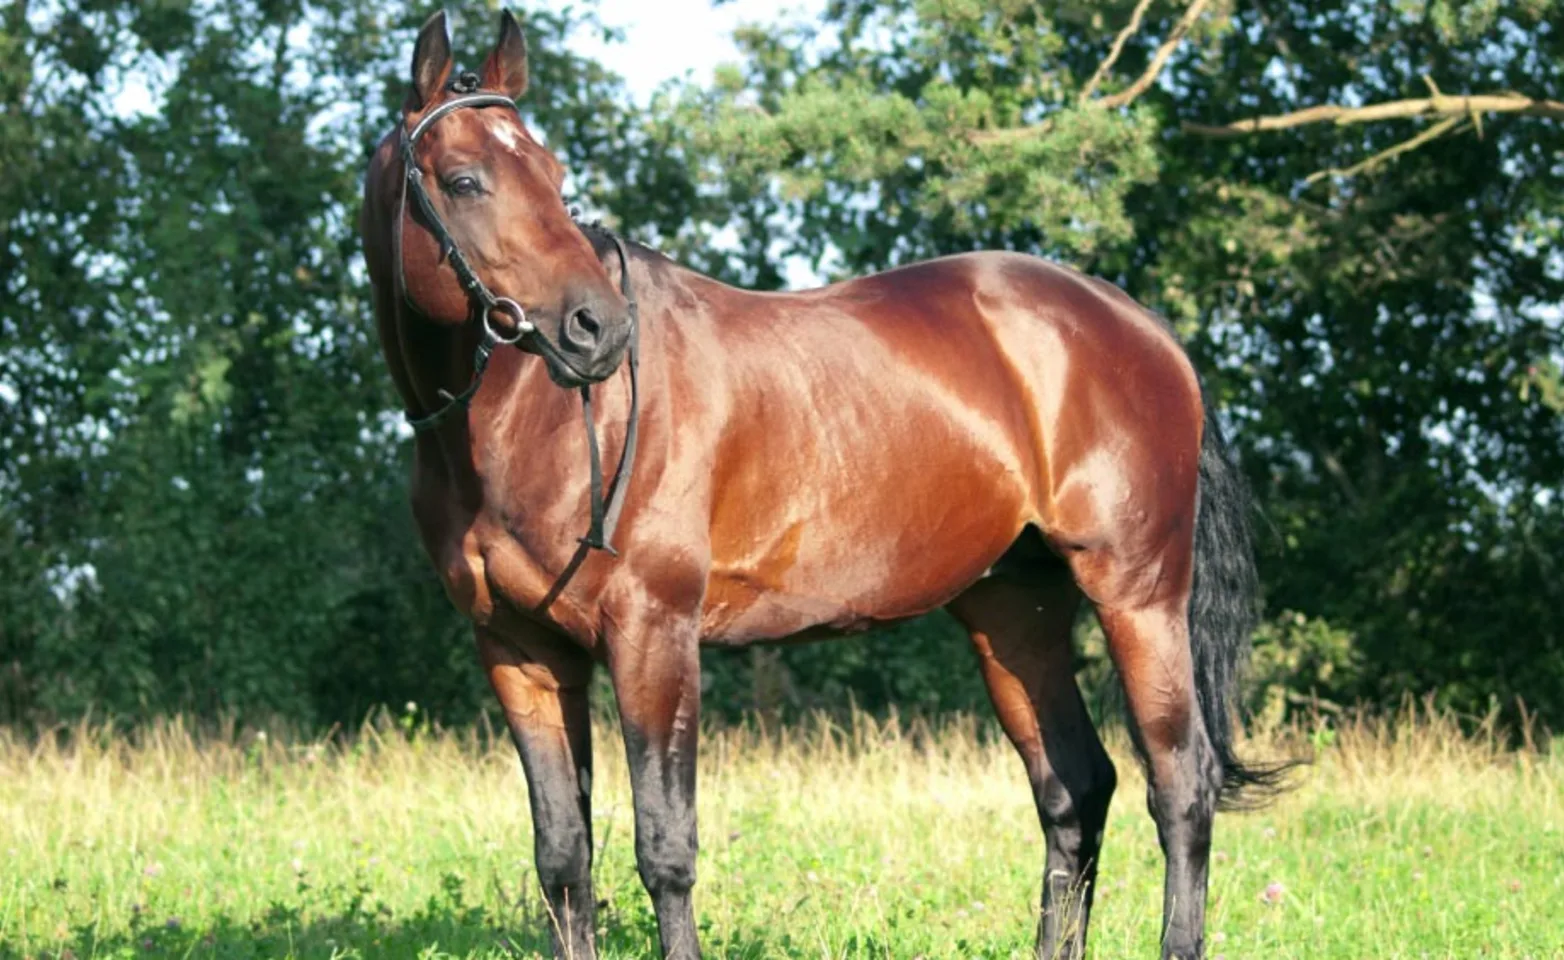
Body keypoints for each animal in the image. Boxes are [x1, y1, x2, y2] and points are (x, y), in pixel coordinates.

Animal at [362, 9, 1282, 960]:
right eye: (464, 181)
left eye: (552, 175)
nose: (597, 328)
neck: (529, 426)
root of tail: (1137, 323)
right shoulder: (519, 652)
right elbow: (563, 860)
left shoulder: (654, 636)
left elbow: (665, 849)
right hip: (1012, 614)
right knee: (1074, 789)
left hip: (1138, 595)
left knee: (1180, 785)